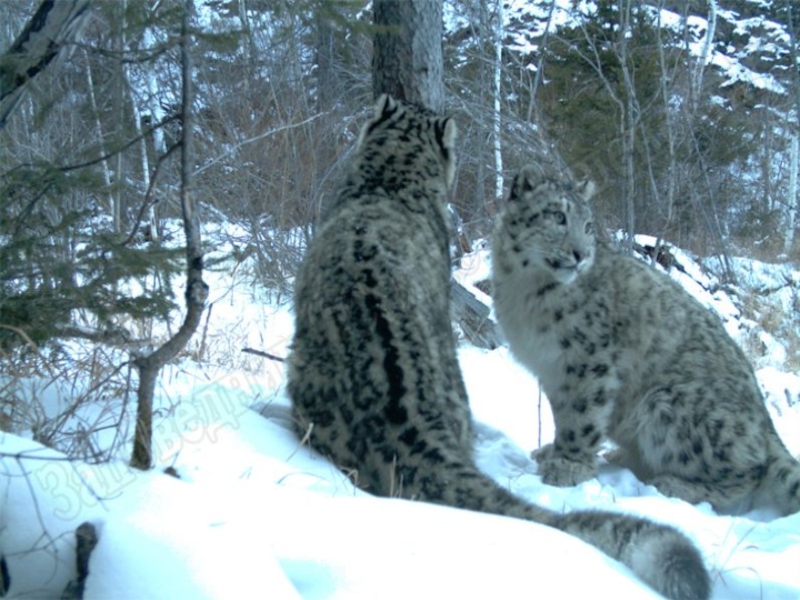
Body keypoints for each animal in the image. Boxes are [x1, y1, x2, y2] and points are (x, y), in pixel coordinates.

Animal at [490, 163, 800, 516]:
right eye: (557, 216)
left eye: (588, 225)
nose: (580, 254)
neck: (525, 292)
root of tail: (766, 423)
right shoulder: (552, 370)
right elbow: (562, 415)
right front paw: (554, 452)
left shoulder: (588, 361)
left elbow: (582, 416)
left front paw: (569, 465)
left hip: (673, 409)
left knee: (748, 473)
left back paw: (675, 484)